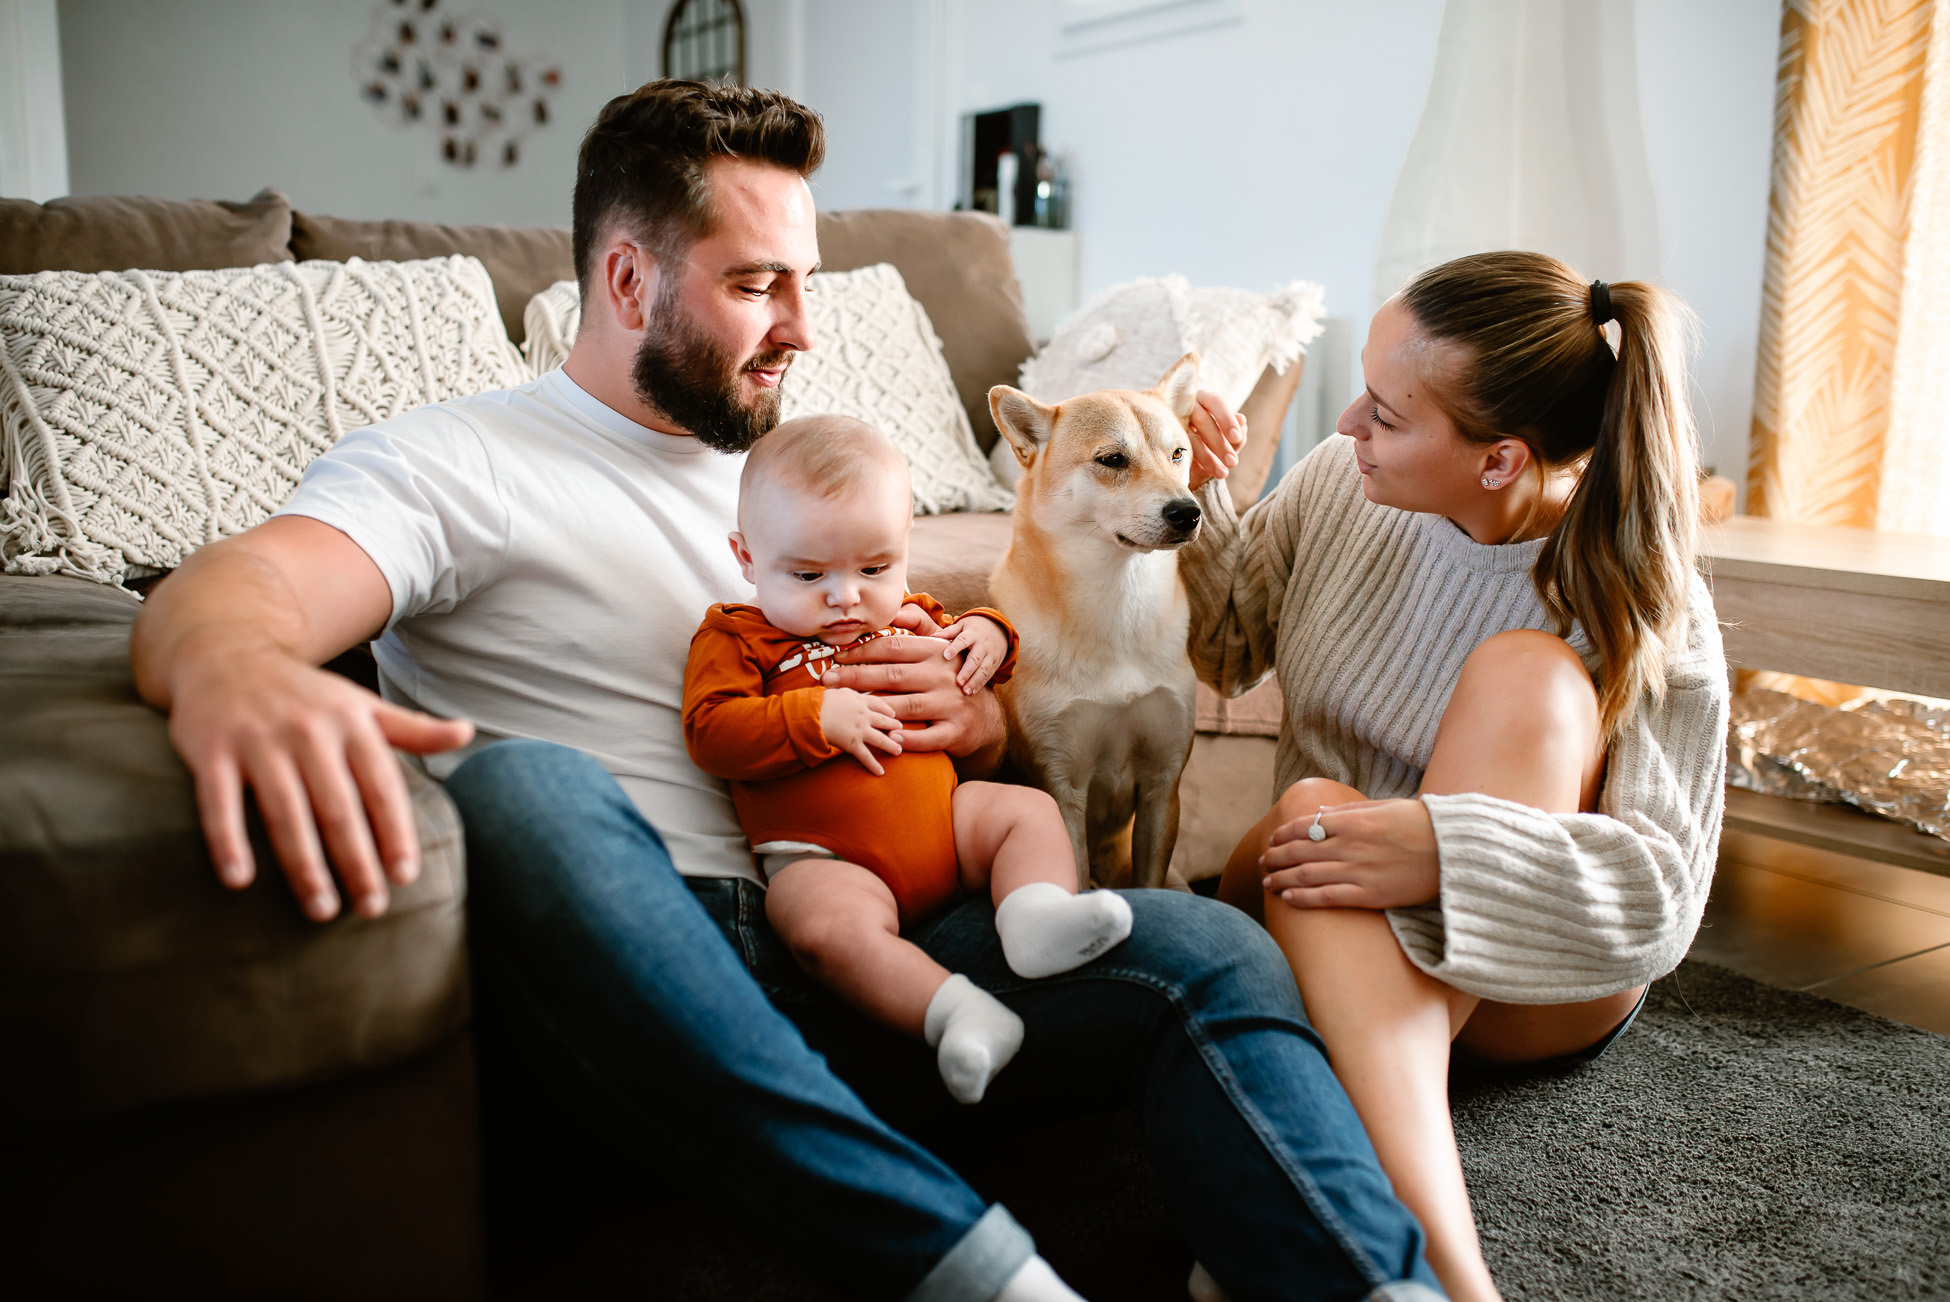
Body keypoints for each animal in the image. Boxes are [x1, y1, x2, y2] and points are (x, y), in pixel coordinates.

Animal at [982, 350, 1209, 888]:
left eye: (1178, 453)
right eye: (1112, 460)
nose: (1187, 512)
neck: (1118, 601)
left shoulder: (1163, 785)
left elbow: (1150, 879)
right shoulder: (1060, 785)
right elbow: (1076, 874)